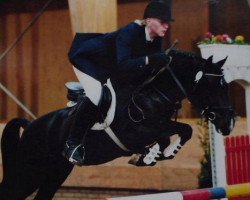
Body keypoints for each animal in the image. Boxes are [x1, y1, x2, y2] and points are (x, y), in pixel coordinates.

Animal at [0, 50, 234, 198]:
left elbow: (179, 132)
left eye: (226, 86)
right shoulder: (139, 131)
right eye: (213, 85)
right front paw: (158, 153)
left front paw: (154, 155)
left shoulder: (157, 128)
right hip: (30, 173)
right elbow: (180, 130)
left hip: (55, 173)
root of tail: (30, 126)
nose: (229, 123)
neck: (154, 94)